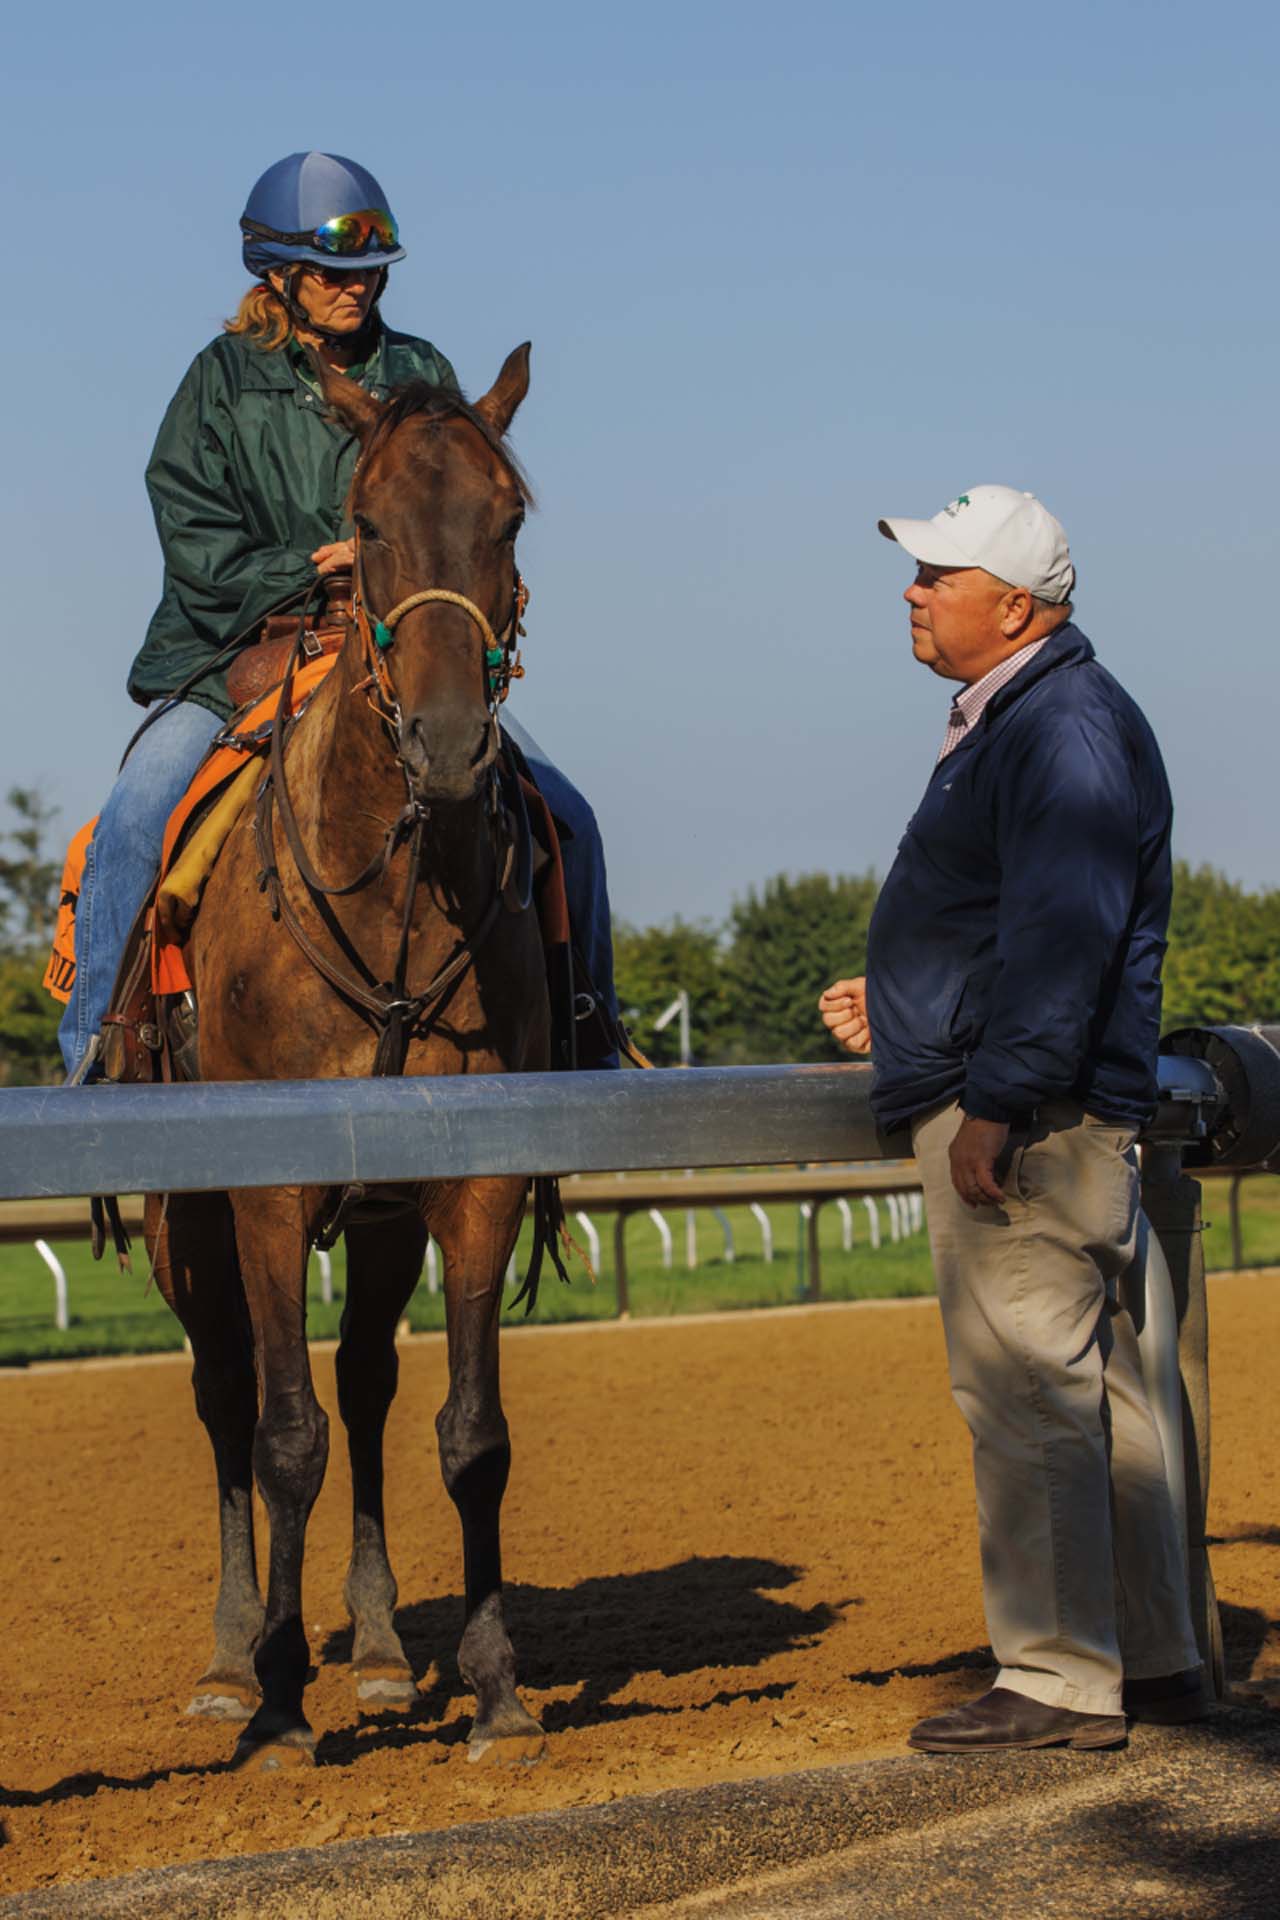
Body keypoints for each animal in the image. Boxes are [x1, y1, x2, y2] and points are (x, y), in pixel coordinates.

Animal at [147, 344, 554, 1770]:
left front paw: (493, 1689)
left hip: (377, 1220)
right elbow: (282, 1438)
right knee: (225, 1397)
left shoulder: (477, 1182)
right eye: (364, 523)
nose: (446, 743)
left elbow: (471, 1435)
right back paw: (230, 1664)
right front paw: (275, 1698)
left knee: (369, 1387)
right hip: (184, 1225)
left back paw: (378, 1653)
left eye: (509, 517)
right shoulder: (265, 1192)